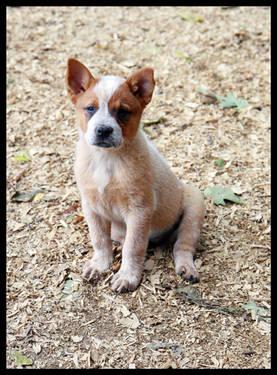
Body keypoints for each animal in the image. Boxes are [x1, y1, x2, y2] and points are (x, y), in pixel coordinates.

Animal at [66, 58, 204, 294]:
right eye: (90, 108)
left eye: (122, 112)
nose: (103, 130)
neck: (107, 159)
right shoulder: (91, 207)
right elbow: (99, 240)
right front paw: (100, 265)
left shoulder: (139, 210)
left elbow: (134, 247)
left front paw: (127, 277)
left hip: (194, 205)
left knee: (182, 245)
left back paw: (187, 268)